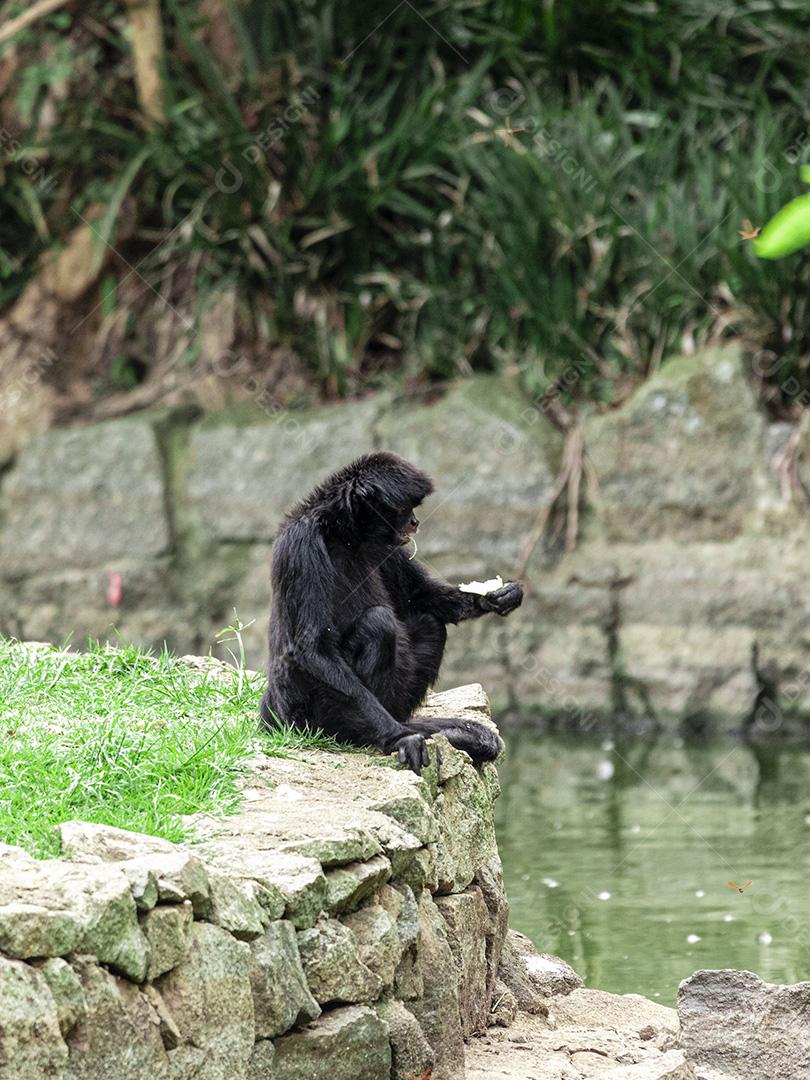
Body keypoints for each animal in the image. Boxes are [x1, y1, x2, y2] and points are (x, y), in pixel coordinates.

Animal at [260, 452, 523, 773]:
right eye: (402, 508)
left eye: (412, 508)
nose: (414, 521)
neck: (346, 536)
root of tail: (271, 709)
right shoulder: (301, 544)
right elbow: (312, 649)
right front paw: (400, 738)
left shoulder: (387, 544)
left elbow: (423, 596)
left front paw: (498, 596)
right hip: (302, 710)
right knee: (378, 623)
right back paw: (372, 734)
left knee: (429, 622)